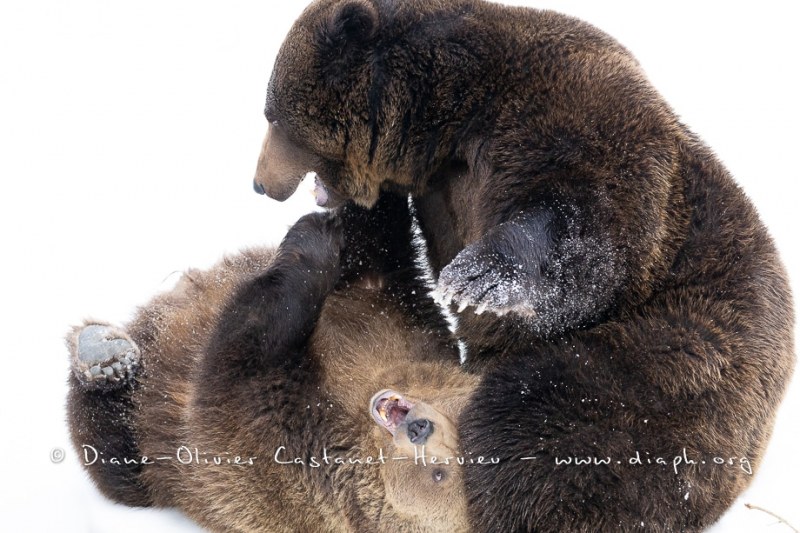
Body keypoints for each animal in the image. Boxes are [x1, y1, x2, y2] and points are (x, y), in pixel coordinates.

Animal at [65, 196, 478, 532]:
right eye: (455, 414)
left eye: (439, 474)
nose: (418, 427)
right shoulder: (403, 322)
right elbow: (382, 250)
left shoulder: (284, 445)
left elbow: (243, 352)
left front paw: (313, 240)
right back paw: (109, 353)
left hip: (164, 467)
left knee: (117, 455)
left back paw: (103, 362)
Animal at [250, 0, 792, 528]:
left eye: (273, 117)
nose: (259, 183)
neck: (449, 119)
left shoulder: (569, 113)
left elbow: (590, 224)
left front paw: (476, 277)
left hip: (676, 357)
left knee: (539, 419)